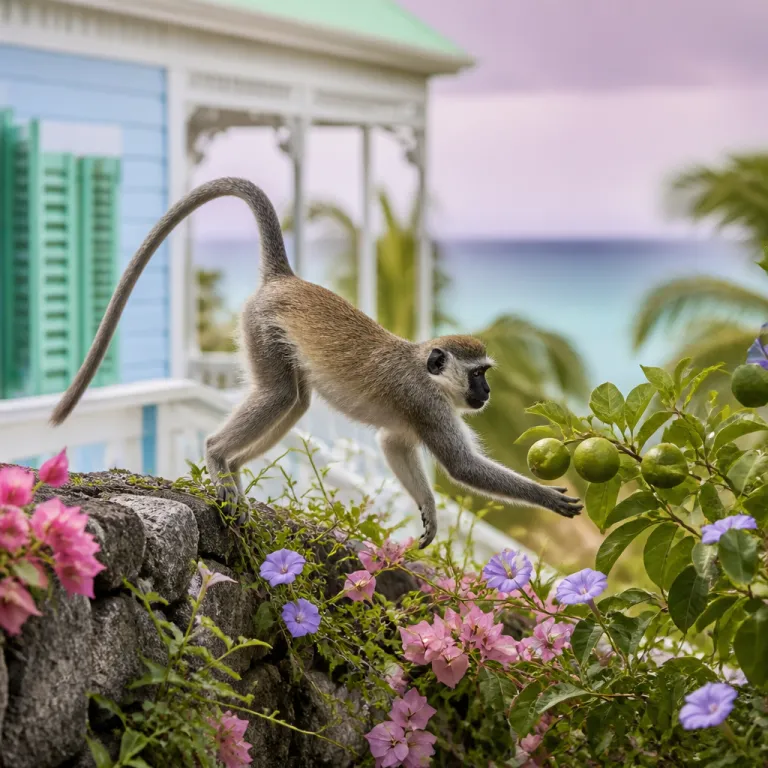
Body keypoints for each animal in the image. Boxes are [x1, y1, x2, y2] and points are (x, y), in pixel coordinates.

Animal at [49, 177, 583, 549]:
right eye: (478, 374)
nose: (486, 394)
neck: (424, 369)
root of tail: (285, 279)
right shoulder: (427, 405)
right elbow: (462, 467)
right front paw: (547, 498)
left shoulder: (412, 418)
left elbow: (393, 444)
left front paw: (429, 510)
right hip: (261, 328)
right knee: (279, 395)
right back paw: (219, 457)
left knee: (296, 401)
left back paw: (234, 472)